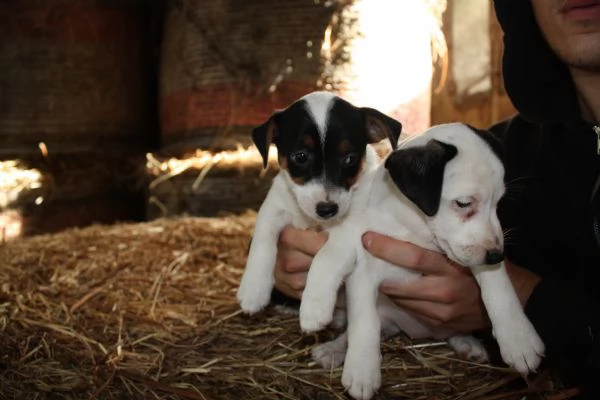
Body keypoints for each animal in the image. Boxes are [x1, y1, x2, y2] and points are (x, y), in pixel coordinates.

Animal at [308, 122, 548, 400]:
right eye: (463, 203)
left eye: (498, 203)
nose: (497, 256)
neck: (417, 230)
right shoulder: (364, 269)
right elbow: (364, 320)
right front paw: (362, 369)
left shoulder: (474, 250)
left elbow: (498, 285)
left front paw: (518, 338)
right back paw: (334, 349)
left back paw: (467, 342)